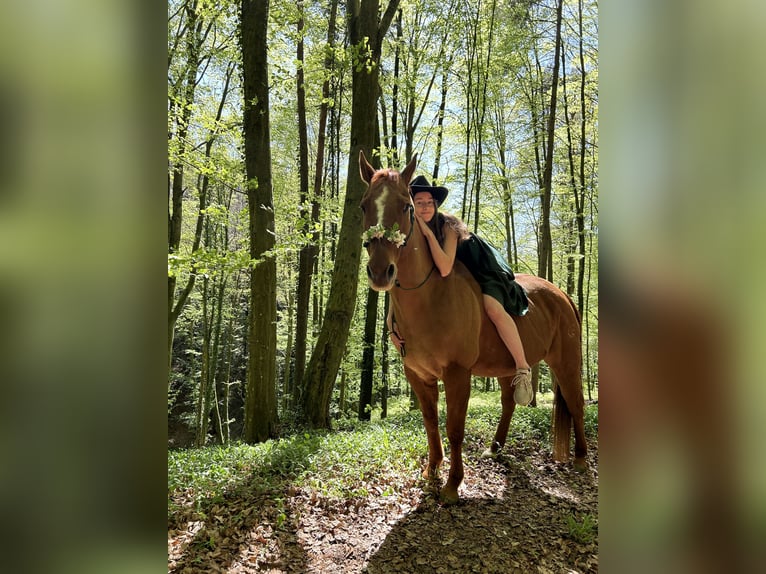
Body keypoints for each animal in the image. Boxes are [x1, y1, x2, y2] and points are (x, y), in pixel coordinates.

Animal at [359, 151, 587, 504]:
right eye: (363, 205)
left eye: (406, 206)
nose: (381, 271)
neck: (431, 298)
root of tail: (562, 294)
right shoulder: (418, 375)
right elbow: (431, 423)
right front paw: (431, 472)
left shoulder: (457, 373)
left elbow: (455, 427)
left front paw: (453, 484)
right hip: (510, 367)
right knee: (509, 403)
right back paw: (495, 448)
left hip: (566, 361)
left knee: (576, 402)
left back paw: (581, 458)